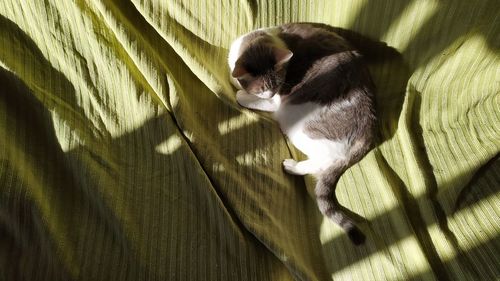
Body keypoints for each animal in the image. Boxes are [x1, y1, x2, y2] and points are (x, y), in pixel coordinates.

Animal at [228, 23, 376, 244]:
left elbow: (241, 97)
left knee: (325, 161)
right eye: (263, 88)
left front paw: (241, 93)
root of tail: (370, 128)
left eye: (278, 84)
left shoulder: (275, 102)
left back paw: (293, 167)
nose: (273, 93)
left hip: (296, 121)